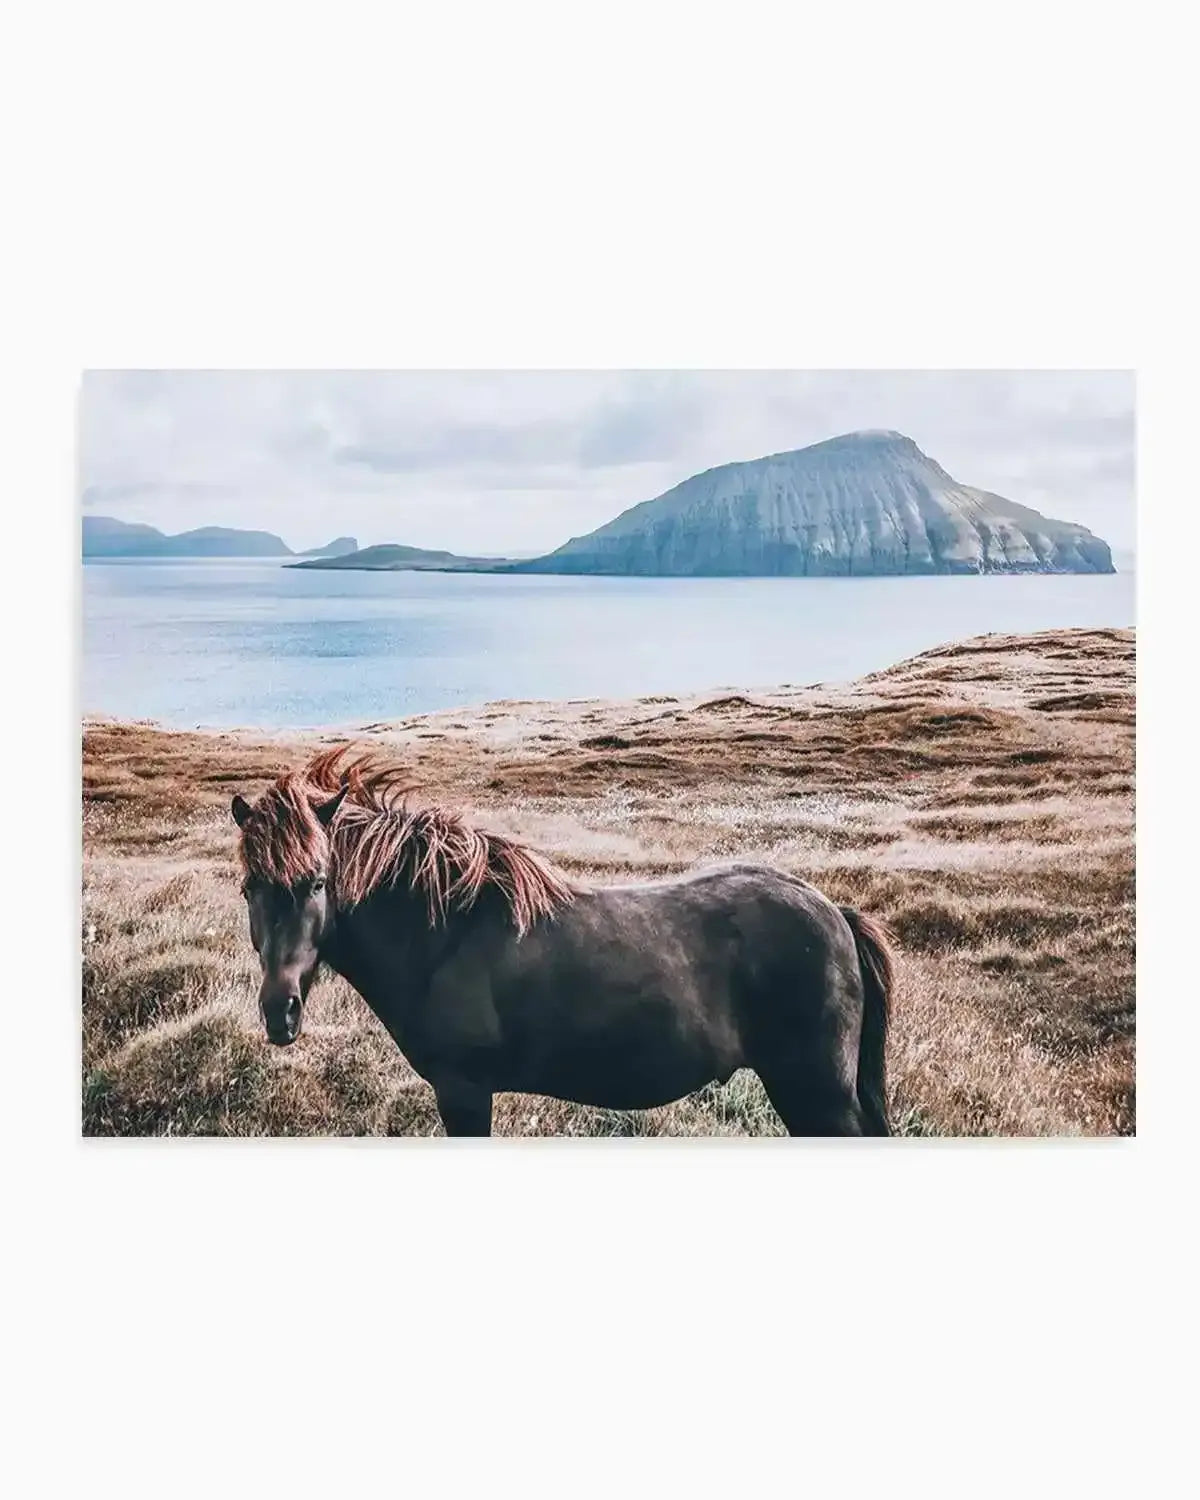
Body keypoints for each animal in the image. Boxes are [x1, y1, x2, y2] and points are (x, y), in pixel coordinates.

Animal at [230, 747, 896, 1137]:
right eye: (248, 888)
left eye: (317, 882)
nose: (280, 1012)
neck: (444, 936)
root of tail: (836, 913)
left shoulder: (463, 1092)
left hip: (817, 1095)